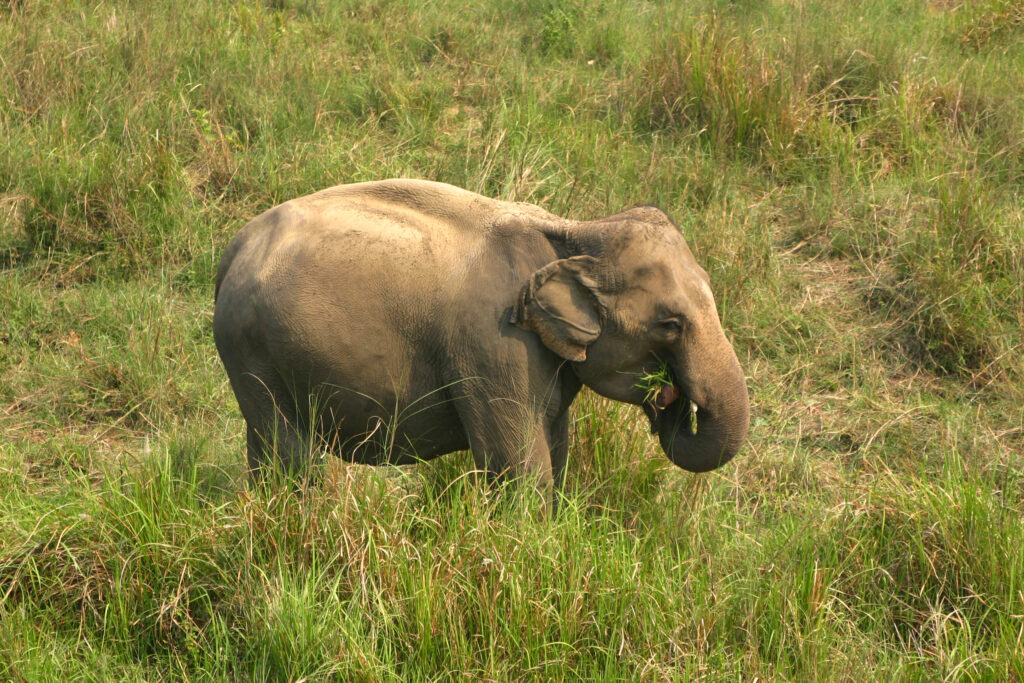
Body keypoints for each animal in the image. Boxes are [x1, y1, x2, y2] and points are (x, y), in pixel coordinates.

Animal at [211, 180, 749, 491]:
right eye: (670, 324)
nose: (669, 396)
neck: (574, 230)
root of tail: (235, 246)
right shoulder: (496, 347)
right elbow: (520, 471)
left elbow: (556, 453)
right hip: (252, 350)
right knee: (289, 457)